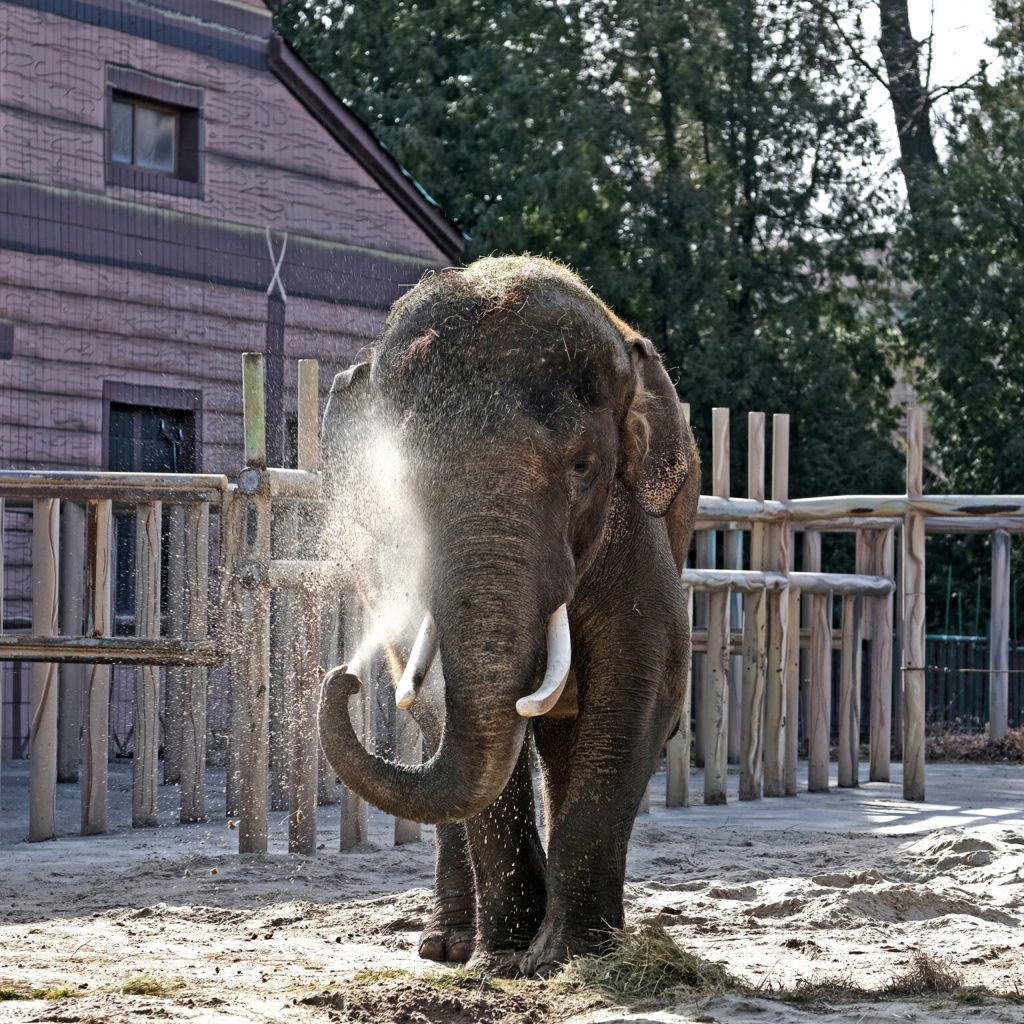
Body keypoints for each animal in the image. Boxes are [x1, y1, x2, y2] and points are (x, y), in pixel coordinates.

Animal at [319, 256, 700, 974]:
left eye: (583, 466)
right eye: (401, 483)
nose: (342, 678)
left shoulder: (634, 522)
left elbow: (642, 675)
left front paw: (562, 960)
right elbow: (440, 697)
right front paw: (502, 961)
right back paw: (449, 947)